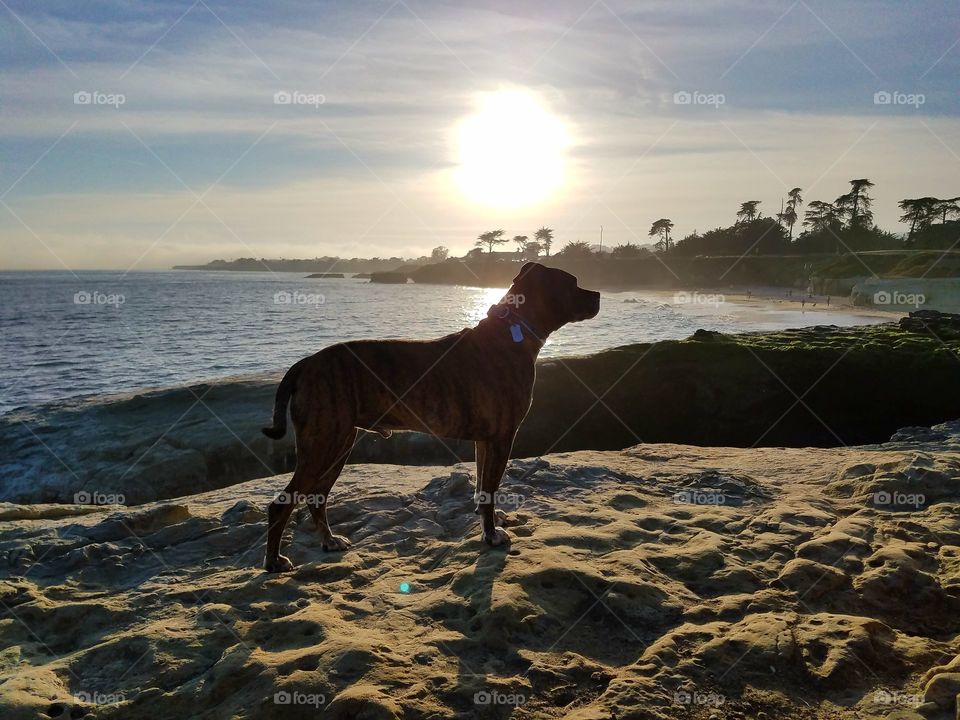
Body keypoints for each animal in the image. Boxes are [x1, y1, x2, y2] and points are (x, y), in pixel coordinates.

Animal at [262, 262, 600, 572]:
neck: (512, 331)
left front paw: (487, 520)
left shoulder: (485, 442)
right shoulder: (502, 438)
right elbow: (490, 488)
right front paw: (491, 536)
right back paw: (274, 561)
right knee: (281, 505)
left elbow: (482, 486)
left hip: (338, 444)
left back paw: (329, 541)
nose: (597, 294)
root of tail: (306, 363)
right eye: (573, 283)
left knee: (316, 496)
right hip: (323, 445)